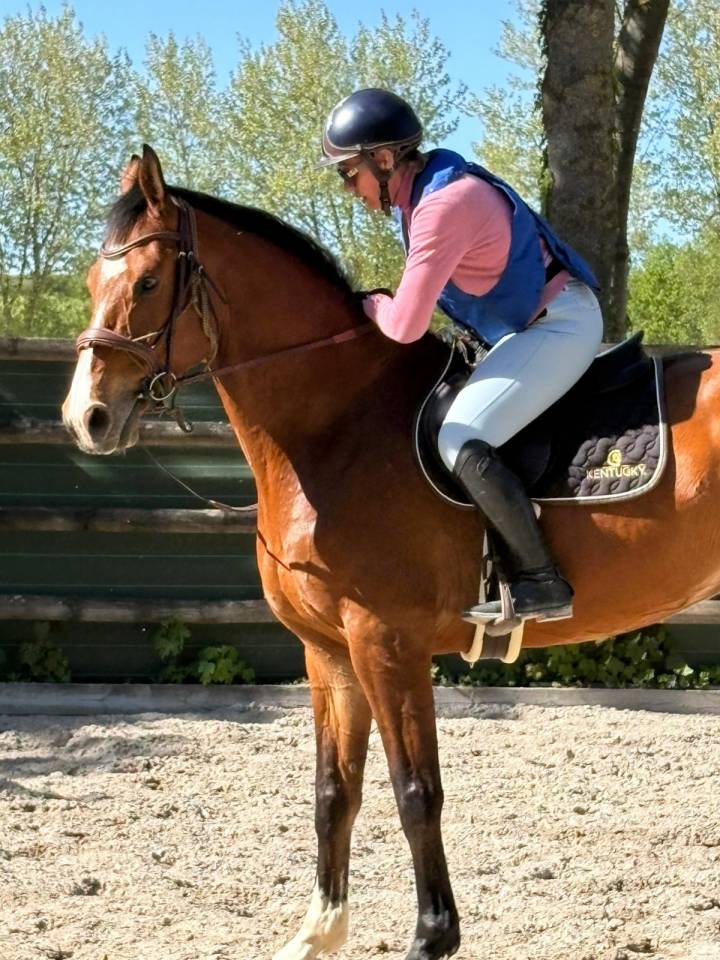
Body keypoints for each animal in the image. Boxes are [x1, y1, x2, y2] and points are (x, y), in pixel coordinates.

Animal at [62, 145, 720, 960]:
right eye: (92, 283)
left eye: (149, 283)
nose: (87, 418)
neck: (336, 426)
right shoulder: (329, 653)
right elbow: (333, 791)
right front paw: (319, 932)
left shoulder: (388, 644)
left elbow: (415, 792)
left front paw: (431, 937)